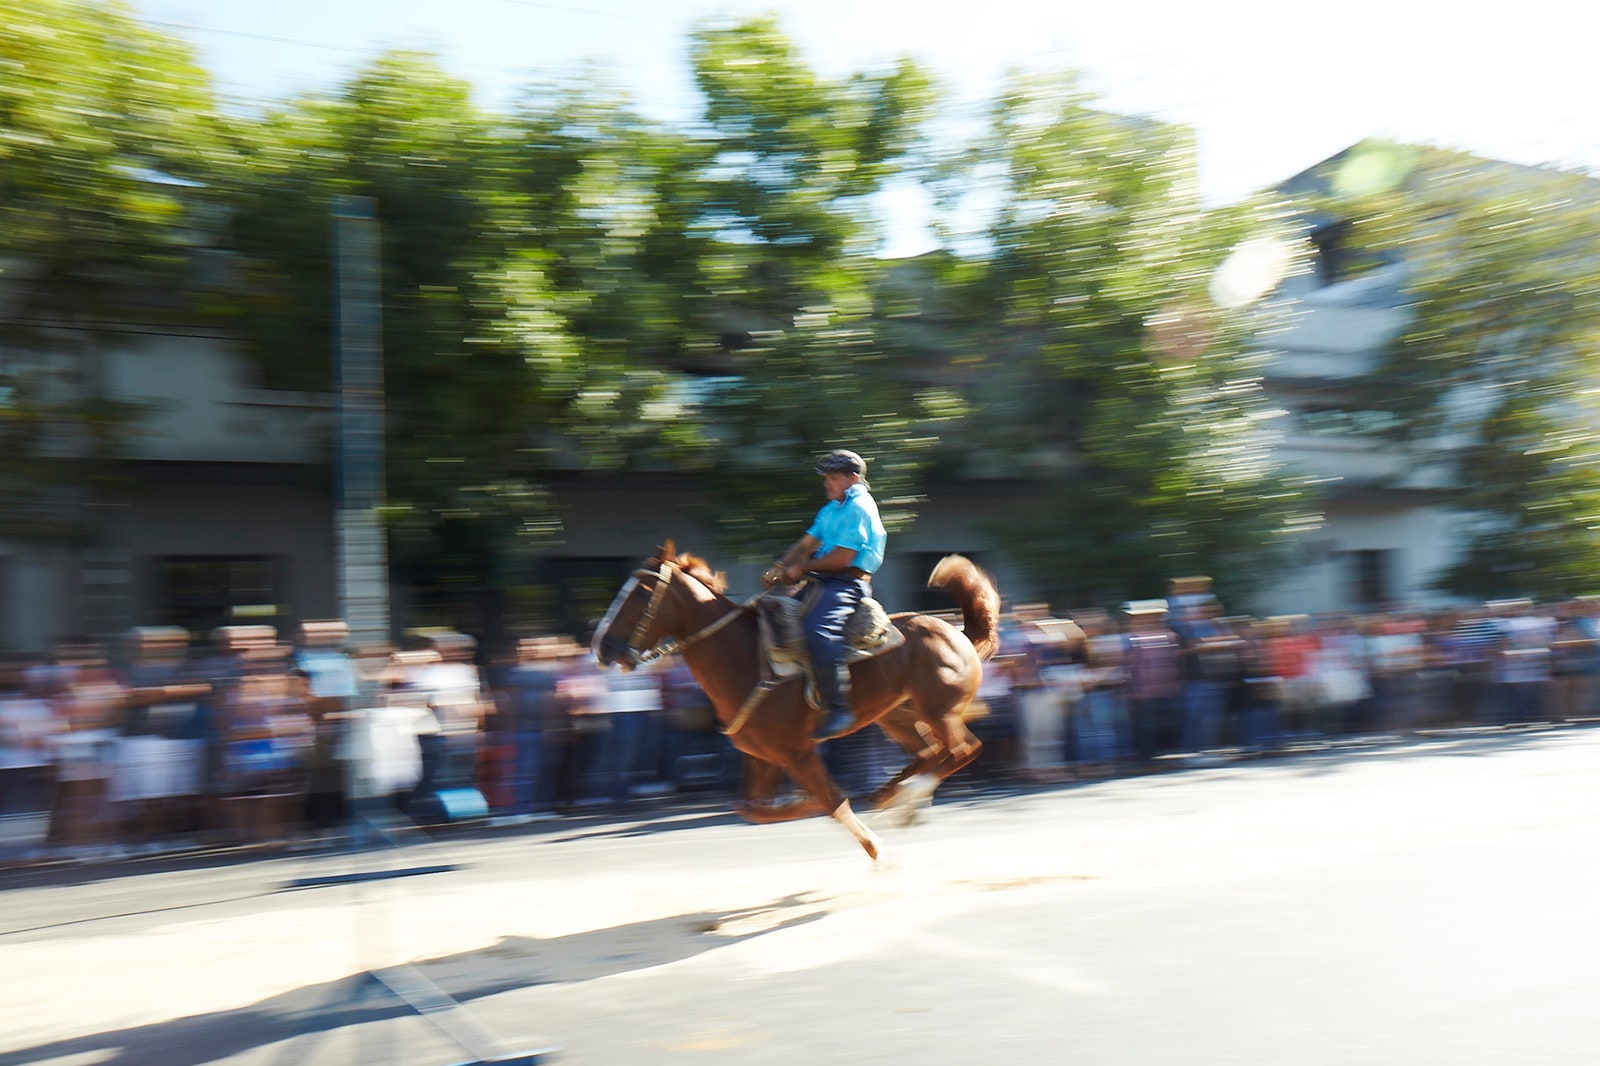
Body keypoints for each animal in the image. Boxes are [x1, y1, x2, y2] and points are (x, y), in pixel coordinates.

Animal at [595, 544, 992, 857]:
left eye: (642, 593)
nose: (602, 647)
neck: (745, 658)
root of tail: (956, 632)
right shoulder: (764, 756)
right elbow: (754, 809)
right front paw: (802, 802)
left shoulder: (798, 752)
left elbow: (832, 801)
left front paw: (876, 850)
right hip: (896, 716)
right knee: (930, 754)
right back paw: (893, 798)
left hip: (940, 712)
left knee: (963, 750)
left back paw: (907, 795)